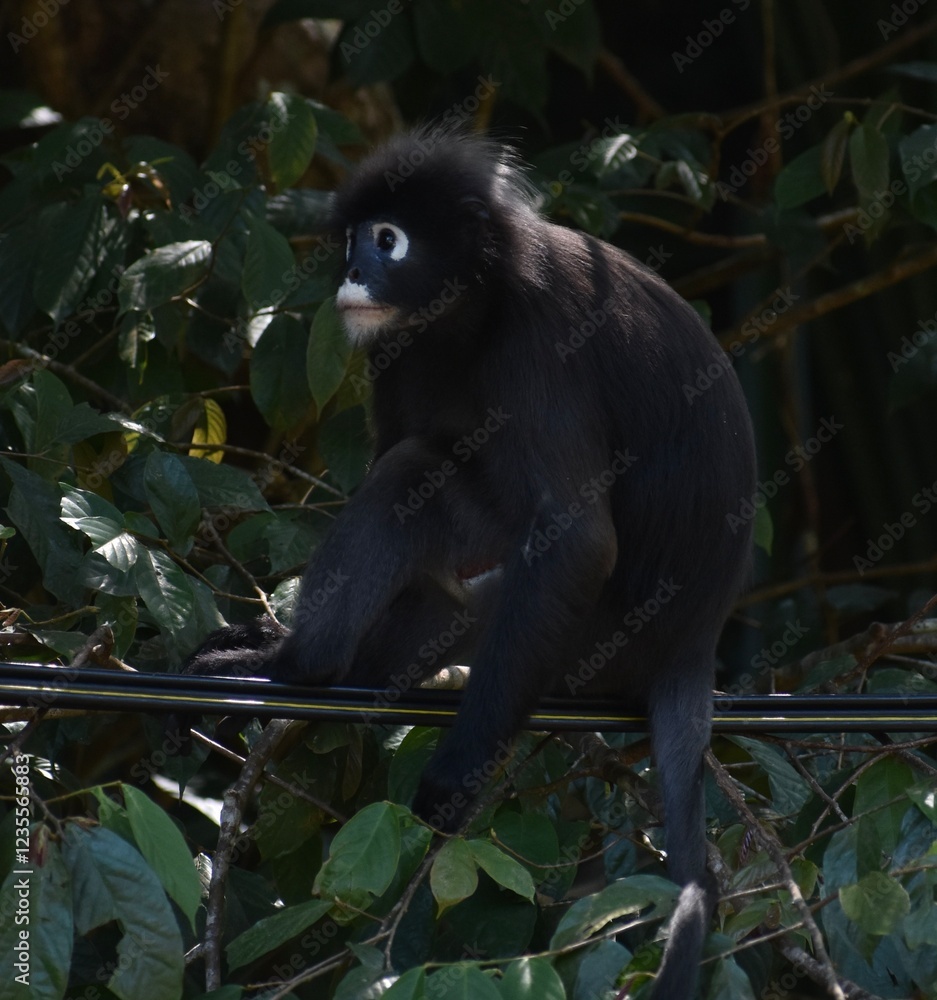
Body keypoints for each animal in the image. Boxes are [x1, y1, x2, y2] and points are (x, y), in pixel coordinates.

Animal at [181, 125, 756, 998]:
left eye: (389, 241)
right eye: (354, 240)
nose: (353, 273)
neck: (477, 306)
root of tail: (695, 637)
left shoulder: (543, 342)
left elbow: (575, 539)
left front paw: (452, 777)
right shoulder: (396, 343)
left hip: (593, 637)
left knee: (414, 478)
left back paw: (299, 667)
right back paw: (326, 665)